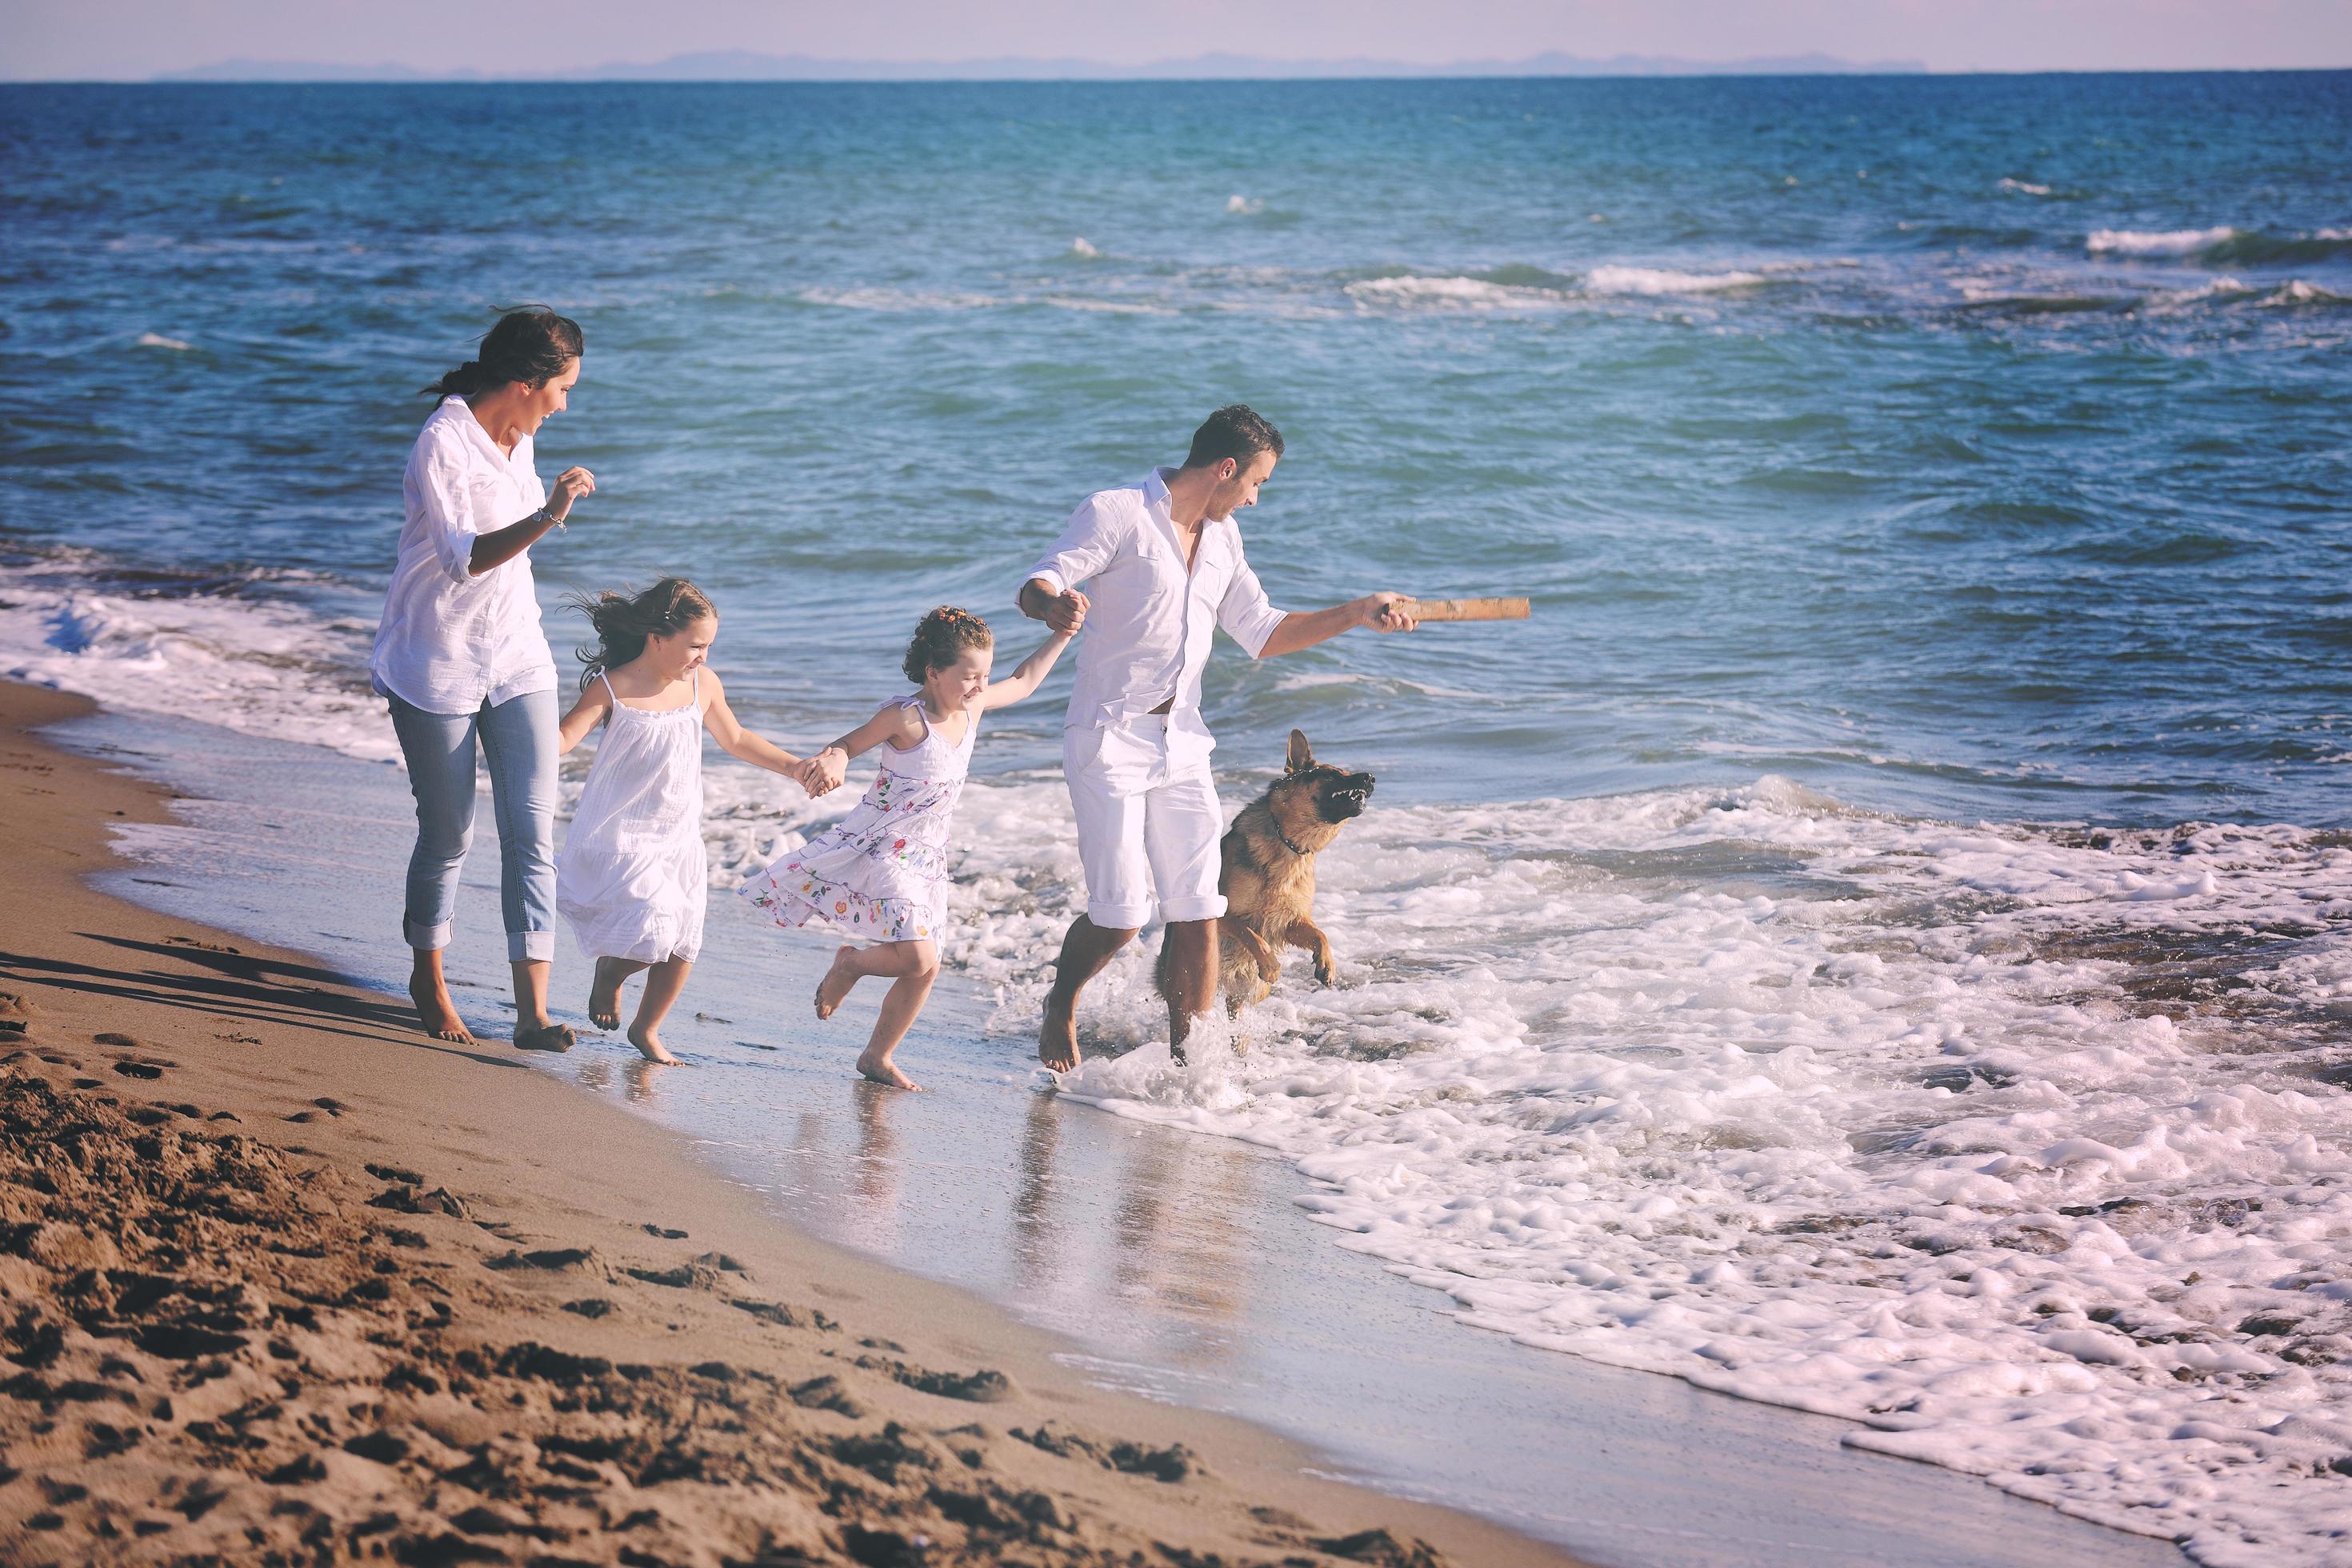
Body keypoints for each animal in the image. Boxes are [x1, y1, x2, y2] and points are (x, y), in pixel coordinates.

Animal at [1162, 738, 1373, 1043]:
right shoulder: (1226, 915)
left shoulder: (1289, 921)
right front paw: (1272, 967)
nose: (1370, 777)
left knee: (1235, 1010)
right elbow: (1251, 935)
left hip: (1248, 993)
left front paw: (1327, 963)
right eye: (1331, 774)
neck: (1288, 844)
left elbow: (1320, 934)